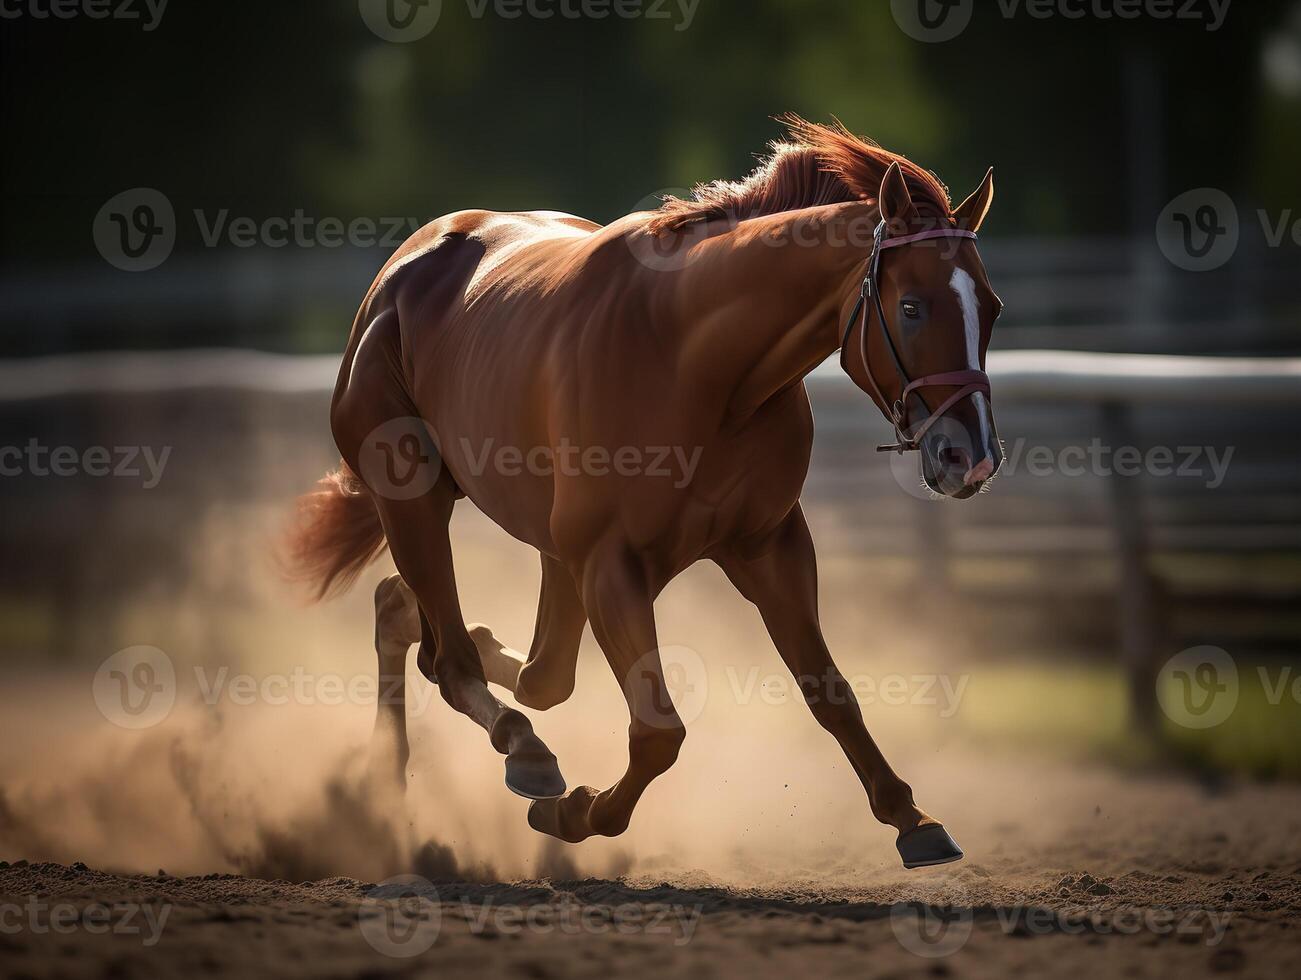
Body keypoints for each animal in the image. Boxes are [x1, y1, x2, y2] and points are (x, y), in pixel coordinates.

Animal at [290, 118, 1004, 869]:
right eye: (911, 306)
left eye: (989, 308)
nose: (970, 457)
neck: (700, 366)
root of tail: (400, 271)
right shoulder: (611, 566)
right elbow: (659, 732)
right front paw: (573, 812)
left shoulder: (769, 546)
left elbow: (830, 694)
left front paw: (913, 819)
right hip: (415, 498)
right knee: (453, 661)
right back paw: (515, 755)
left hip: (545, 551)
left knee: (465, 641)